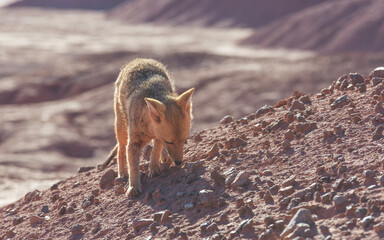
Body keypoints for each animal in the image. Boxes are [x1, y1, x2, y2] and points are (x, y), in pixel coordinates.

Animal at [99, 58, 195, 197]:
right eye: (170, 142)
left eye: (184, 140)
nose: (178, 163)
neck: (149, 129)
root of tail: (139, 59)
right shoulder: (133, 142)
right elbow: (133, 166)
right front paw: (133, 187)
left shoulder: (159, 137)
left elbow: (155, 150)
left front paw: (154, 168)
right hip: (121, 129)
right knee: (120, 150)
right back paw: (122, 173)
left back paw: (164, 157)